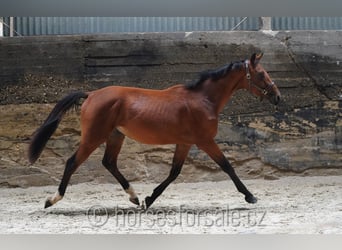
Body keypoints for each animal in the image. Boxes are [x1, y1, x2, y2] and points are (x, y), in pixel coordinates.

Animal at [28, 52, 280, 209]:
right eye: (261, 74)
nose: (277, 97)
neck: (204, 99)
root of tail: (91, 94)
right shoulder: (205, 141)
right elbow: (227, 166)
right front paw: (250, 196)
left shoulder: (185, 143)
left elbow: (174, 173)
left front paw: (149, 199)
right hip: (93, 137)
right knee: (73, 162)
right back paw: (52, 200)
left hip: (115, 136)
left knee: (109, 162)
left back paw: (134, 197)